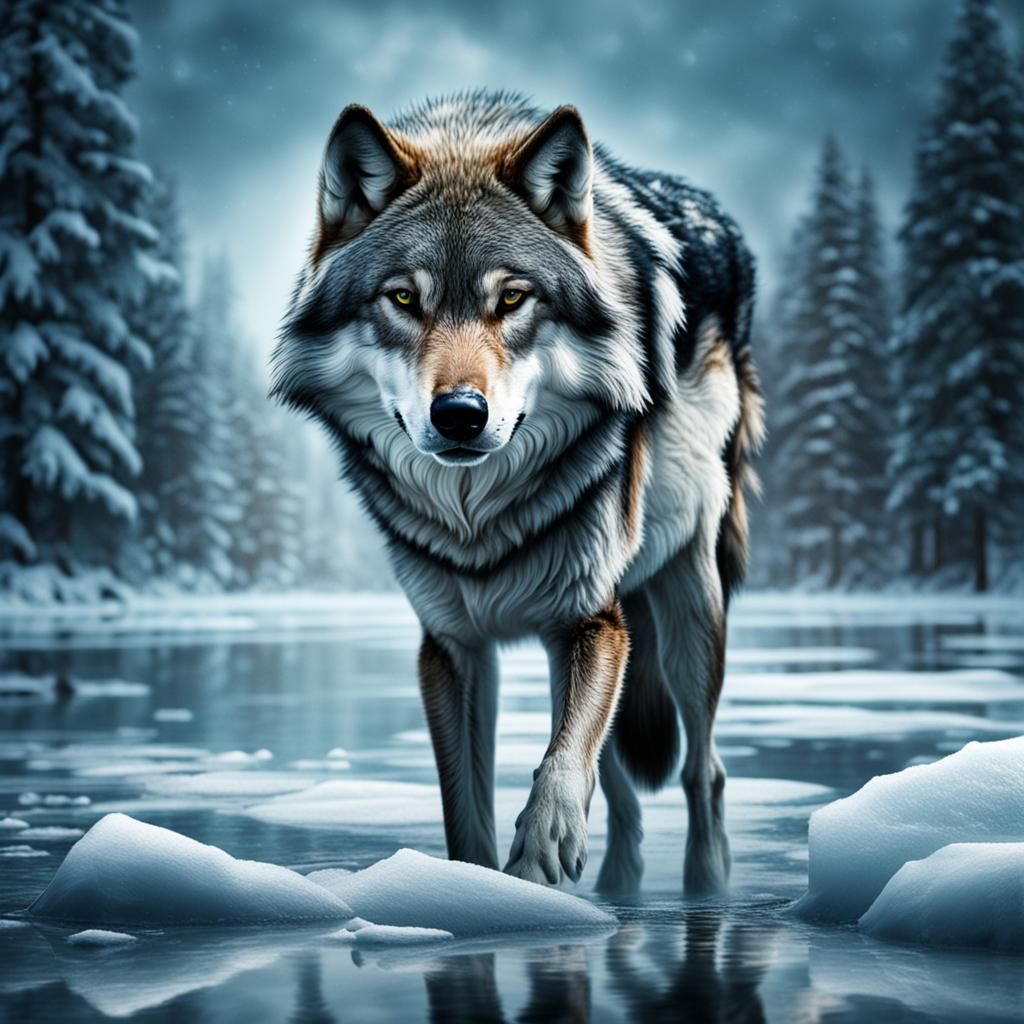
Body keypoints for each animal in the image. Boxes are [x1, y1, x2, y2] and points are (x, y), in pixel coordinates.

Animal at [272, 91, 762, 895]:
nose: (460, 414)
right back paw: (619, 888)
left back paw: (708, 889)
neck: (479, 515)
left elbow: (561, 763)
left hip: (689, 604)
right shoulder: (452, 646)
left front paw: (539, 850)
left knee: (704, 770)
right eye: (402, 297)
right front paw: (481, 895)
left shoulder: (591, 618)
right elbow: (466, 806)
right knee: (622, 783)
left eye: (512, 298)